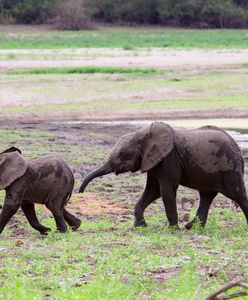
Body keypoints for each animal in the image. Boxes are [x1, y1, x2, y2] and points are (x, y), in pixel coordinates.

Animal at [80, 121, 248, 227]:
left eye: (124, 155)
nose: (80, 192)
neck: (143, 133)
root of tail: (238, 148)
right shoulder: (153, 160)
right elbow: (153, 190)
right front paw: (139, 226)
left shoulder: (168, 159)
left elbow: (166, 189)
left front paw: (172, 228)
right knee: (206, 196)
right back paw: (190, 227)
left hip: (229, 168)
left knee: (238, 195)